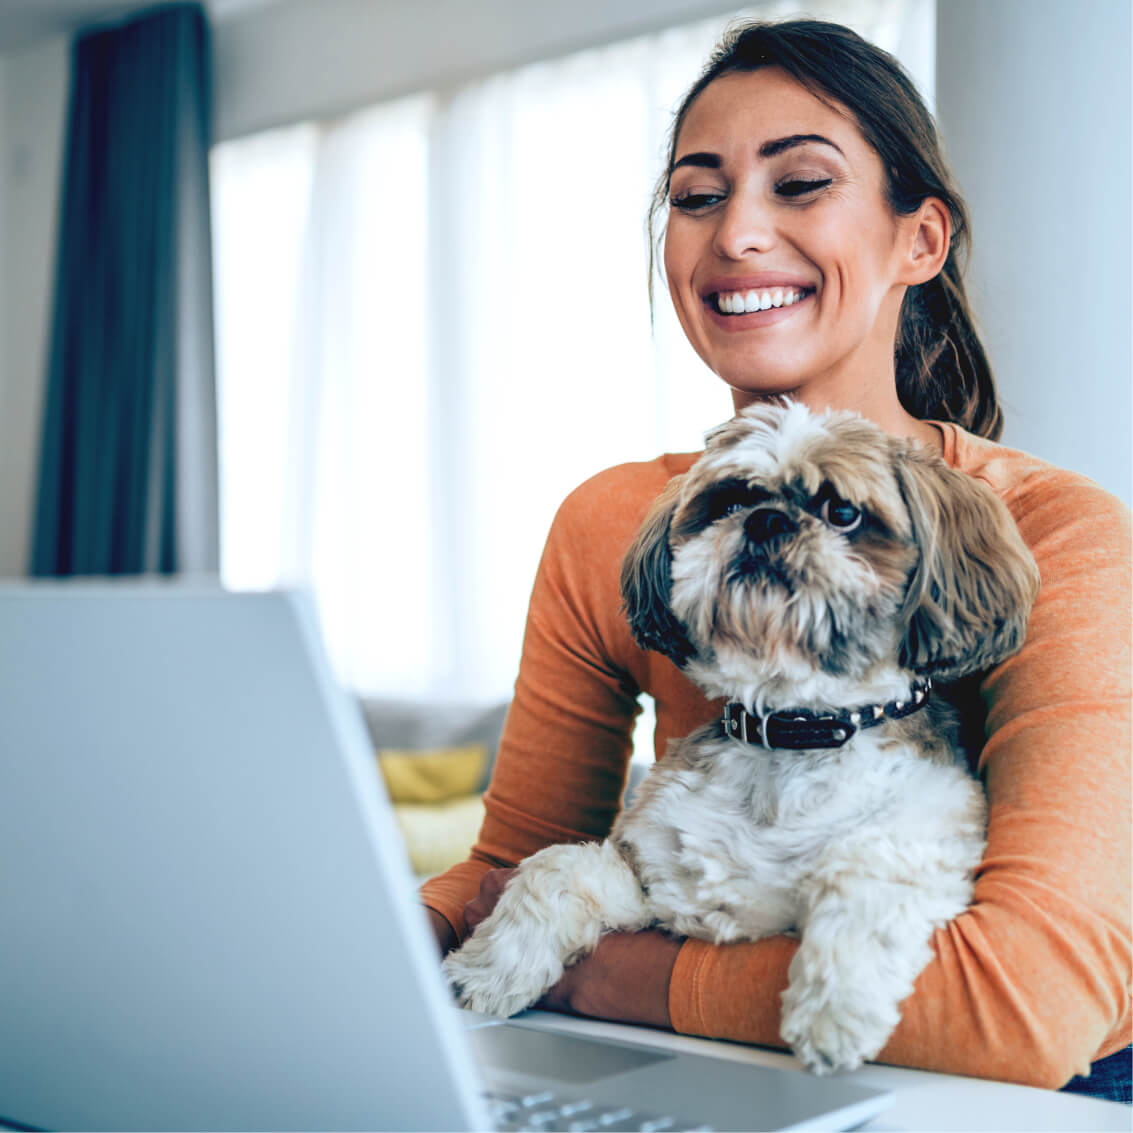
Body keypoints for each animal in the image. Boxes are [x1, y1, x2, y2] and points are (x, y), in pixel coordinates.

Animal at [437, 403, 1037, 1074]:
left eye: (843, 512)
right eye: (729, 501)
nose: (766, 518)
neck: (792, 733)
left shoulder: (925, 838)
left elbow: (865, 875)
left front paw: (833, 1012)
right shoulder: (659, 884)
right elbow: (555, 867)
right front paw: (489, 971)